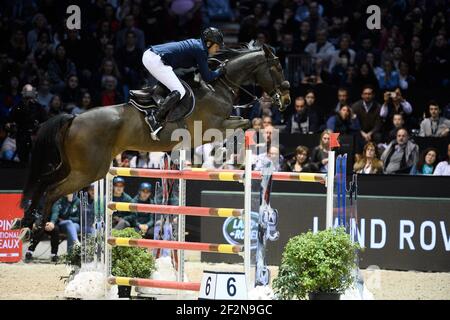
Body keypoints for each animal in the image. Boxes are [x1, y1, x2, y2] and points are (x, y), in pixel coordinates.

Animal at [16, 42, 292, 235]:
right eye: (277, 67)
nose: (287, 100)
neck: (219, 85)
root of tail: (73, 118)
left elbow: (243, 123)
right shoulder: (214, 127)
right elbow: (244, 124)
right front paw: (234, 158)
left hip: (73, 165)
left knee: (44, 180)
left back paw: (26, 221)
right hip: (89, 171)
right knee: (53, 190)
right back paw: (36, 228)